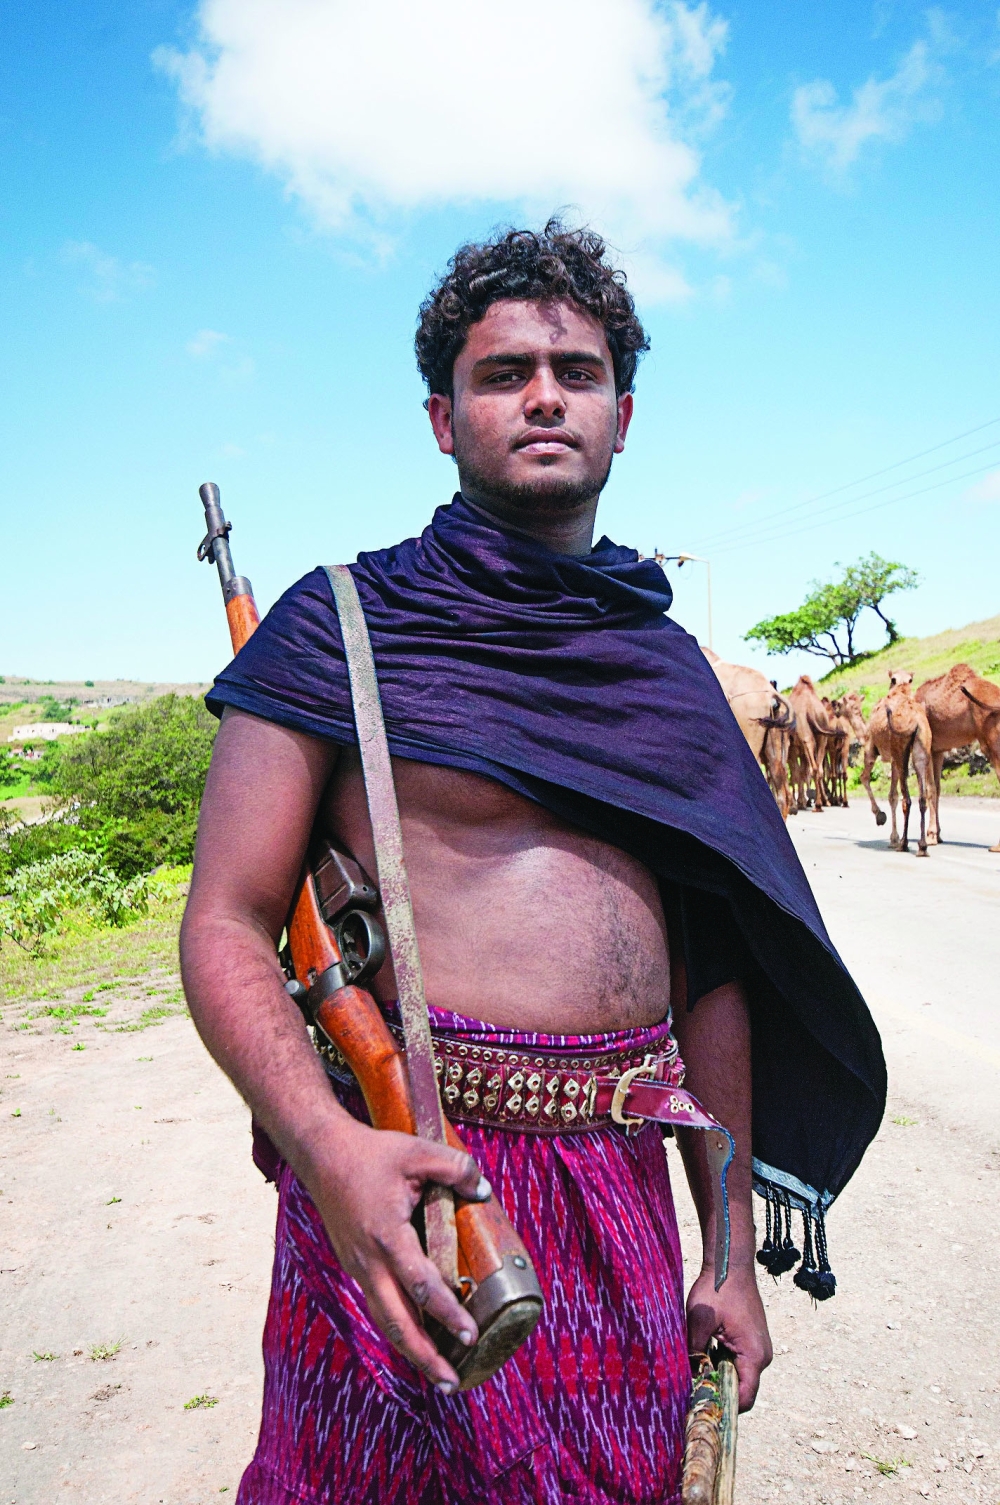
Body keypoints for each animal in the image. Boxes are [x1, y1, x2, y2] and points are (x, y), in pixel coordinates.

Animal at [787, 676, 844, 812]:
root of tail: (810, 708)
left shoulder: (792, 749)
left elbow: (796, 774)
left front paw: (799, 803)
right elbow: (802, 773)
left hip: (805, 738)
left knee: (812, 768)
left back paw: (817, 805)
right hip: (822, 737)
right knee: (819, 769)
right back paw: (820, 804)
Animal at [859, 670, 935, 855]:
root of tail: (916, 722)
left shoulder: (871, 746)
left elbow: (866, 779)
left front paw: (881, 818)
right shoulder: (893, 758)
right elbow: (893, 795)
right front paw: (893, 837)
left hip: (900, 750)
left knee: (906, 798)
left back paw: (904, 843)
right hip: (920, 749)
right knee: (921, 796)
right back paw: (922, 846)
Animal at [916, 663, 1000, 851]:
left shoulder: (928, 747)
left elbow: (930, 789)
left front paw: (930, 837)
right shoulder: (938, 750)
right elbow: (938, 788)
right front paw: (938, 835)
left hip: (991, 744)